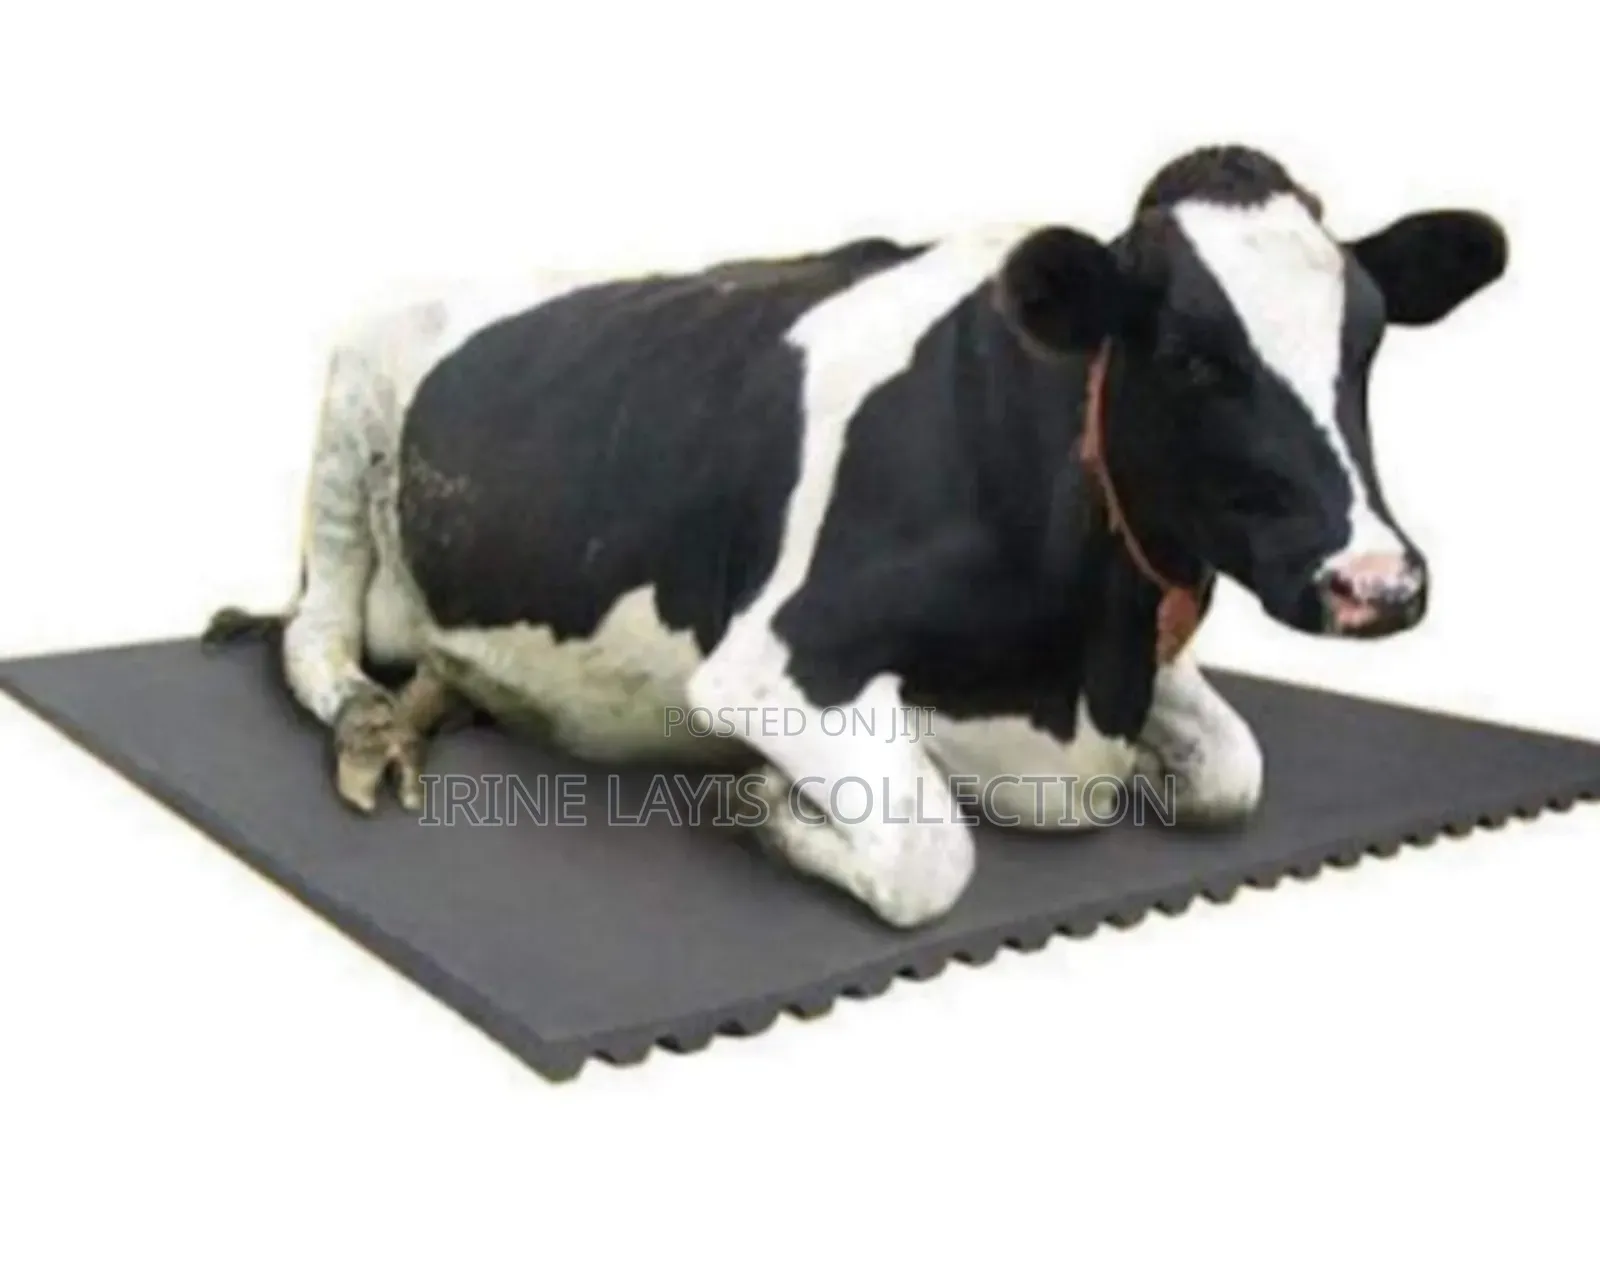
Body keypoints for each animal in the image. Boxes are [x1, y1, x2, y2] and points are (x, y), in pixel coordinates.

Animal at [227, 145, 1507, 929]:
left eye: (1367, 343)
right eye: (1193, 357)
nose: (1377, 582)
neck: (1079, 666)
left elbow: (1234, 773)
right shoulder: (769, 666)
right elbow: (928, 856)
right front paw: (755, 805)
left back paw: (446, 696)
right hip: (347, 418)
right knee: (312, 632)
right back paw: (369, 714)